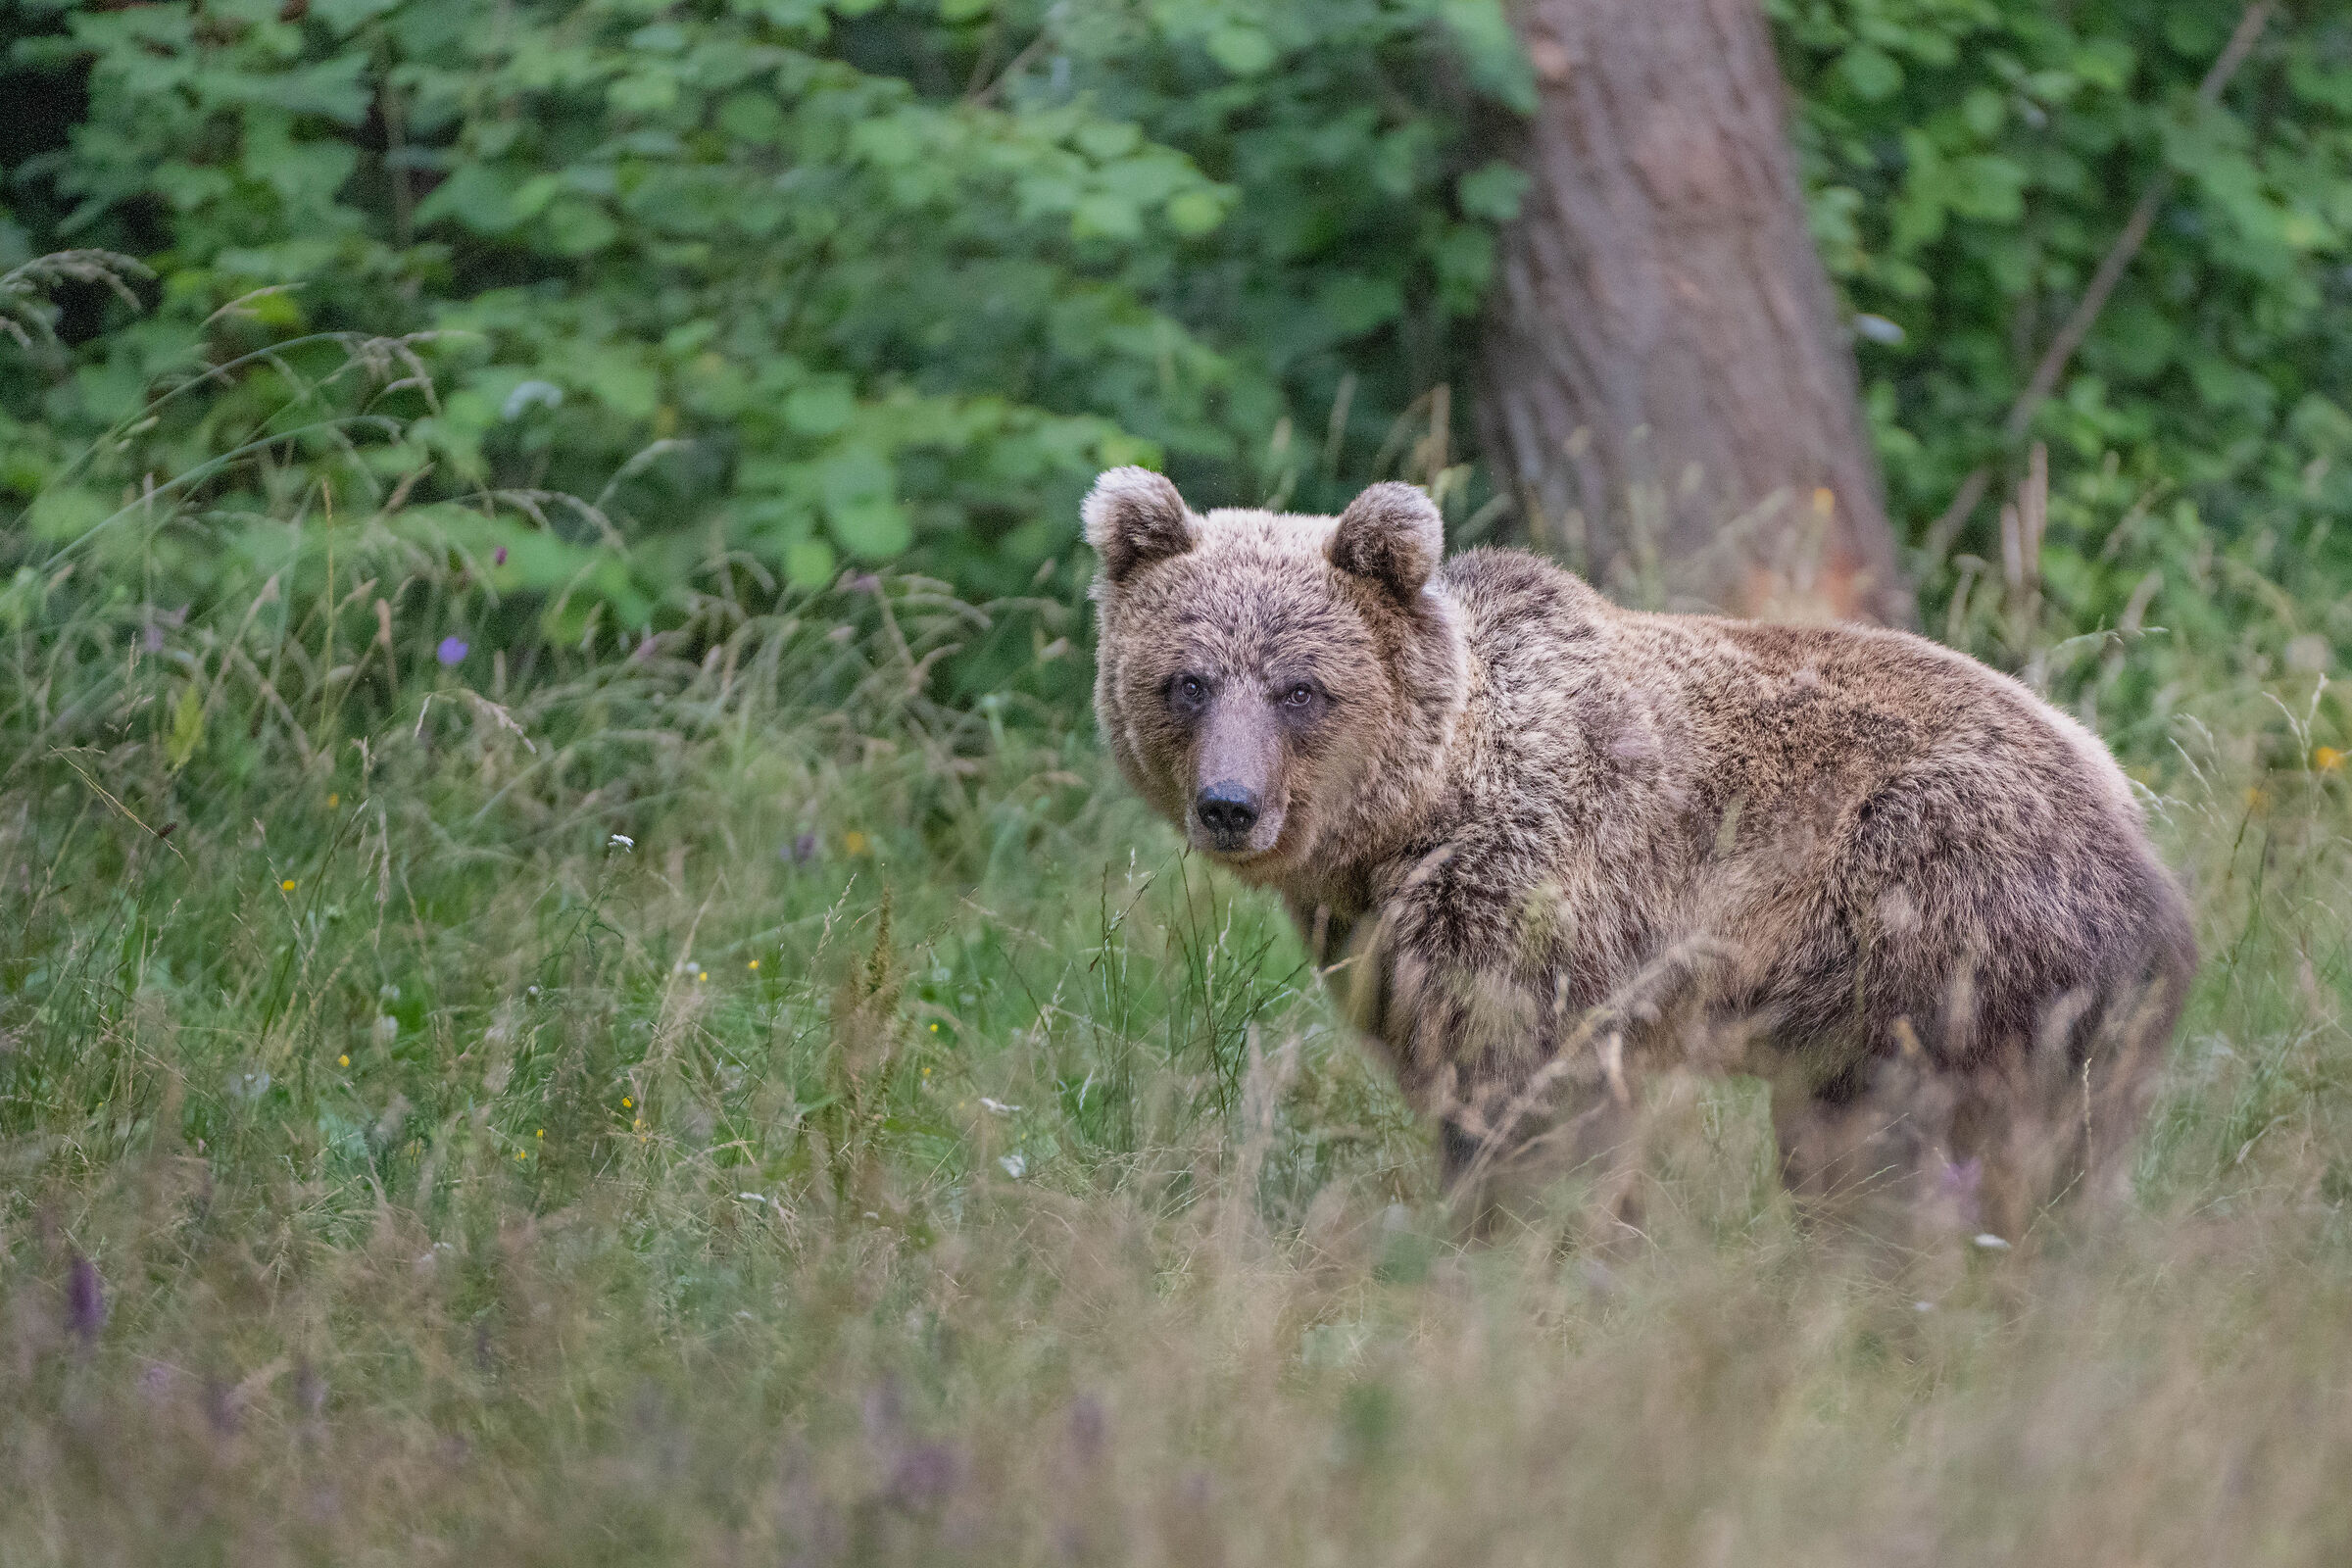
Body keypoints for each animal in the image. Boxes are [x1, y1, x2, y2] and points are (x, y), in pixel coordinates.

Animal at [1084, 466, 2197, 1242]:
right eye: (1187, 680)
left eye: (1300, 687)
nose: (1230, 806)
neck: (1420, 811)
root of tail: (2134, 822)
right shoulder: (1384, 940)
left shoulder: (1541, 907)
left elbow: (1537, 1106)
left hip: (1945, 922)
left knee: (1909, 1151)